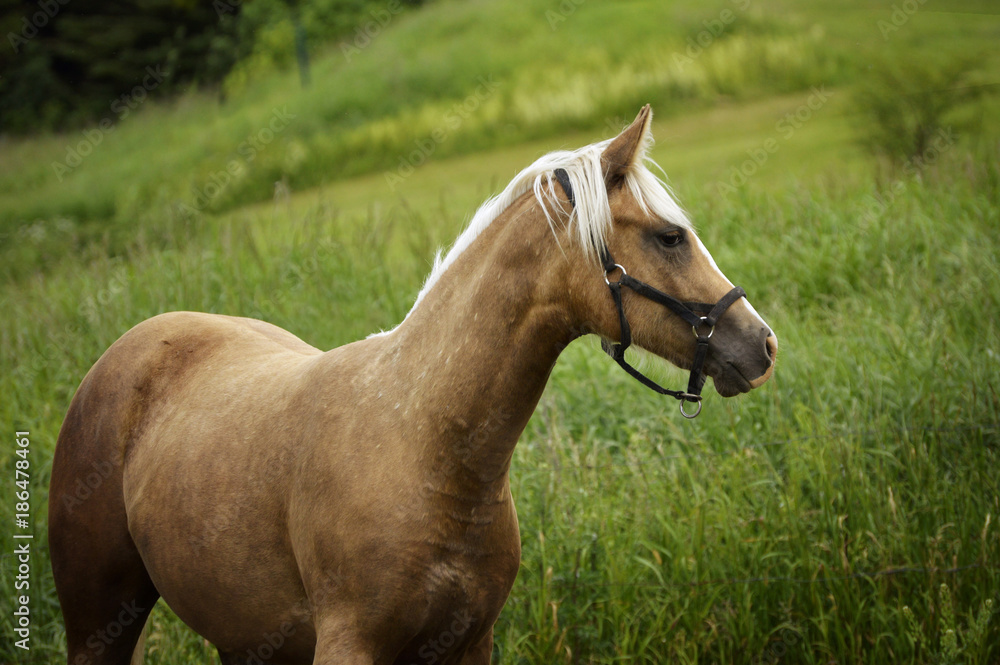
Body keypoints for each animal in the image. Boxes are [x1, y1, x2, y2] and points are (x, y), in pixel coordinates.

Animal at [49, 105, 776, 665]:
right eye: (671, 236)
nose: (762, 344)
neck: (423, 443)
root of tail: (126, 349)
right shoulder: (349, 646)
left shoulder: (469, 643)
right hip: (99, 622)